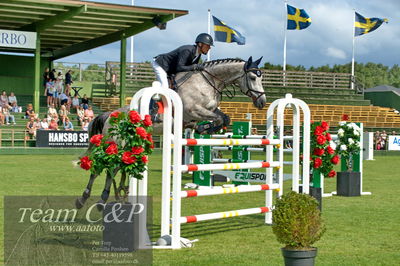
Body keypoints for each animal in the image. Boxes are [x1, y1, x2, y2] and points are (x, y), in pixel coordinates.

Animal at [76, 56, 268, 210]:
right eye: (252, 77)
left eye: (261, 78)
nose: (262, 102)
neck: (208, 82)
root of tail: (109, 114)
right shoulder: (194, 110)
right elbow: (218, 119)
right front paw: (204, 128)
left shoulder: (208, 111)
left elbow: (224, 119)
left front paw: (203, 129)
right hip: (114, 143)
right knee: (102, 168)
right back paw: (91, 199)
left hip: (127, 147)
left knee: (114, 169)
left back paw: (109, 197)